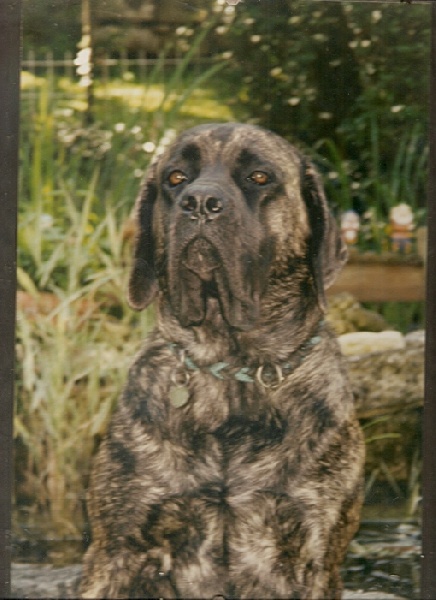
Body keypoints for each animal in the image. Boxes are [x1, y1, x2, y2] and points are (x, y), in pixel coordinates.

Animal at [79, 123, 364, 600]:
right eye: (176, 178)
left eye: (259, 177)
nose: (199, 202)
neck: (232, 368)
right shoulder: (117, 551)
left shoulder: (313, 555)